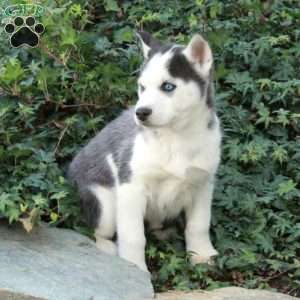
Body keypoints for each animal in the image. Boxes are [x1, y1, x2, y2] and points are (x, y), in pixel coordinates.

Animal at [69, 31, 221, 272]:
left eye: (168, 86)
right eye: (142, 87)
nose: (140, 113)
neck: (177, 138)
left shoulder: (202, 184)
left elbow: (199, 225)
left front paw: (202, 254)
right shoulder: (132, 187)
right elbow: (133, 236)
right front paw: (133, 266)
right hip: (105, 205)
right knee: (98, 231)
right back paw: (108, 248)